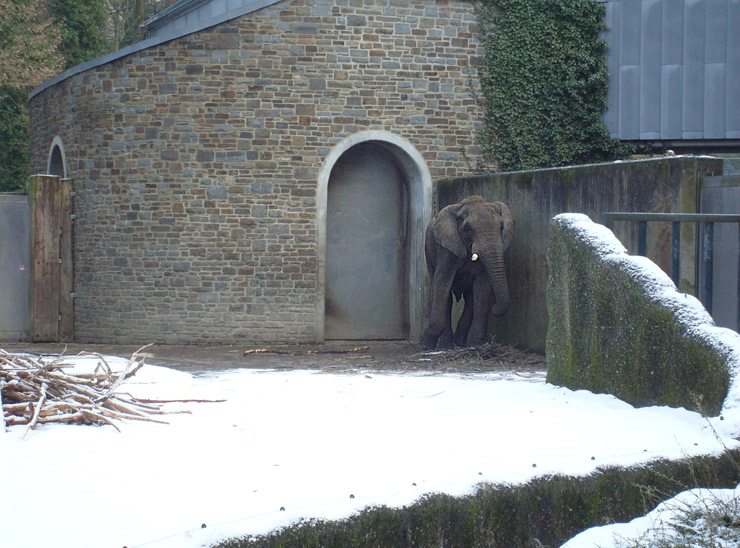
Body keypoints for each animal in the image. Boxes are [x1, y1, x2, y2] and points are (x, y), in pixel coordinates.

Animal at [422, 197, 516, 348]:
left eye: (501, 228)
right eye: (468, 230)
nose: (495, 308)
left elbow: (482, 288)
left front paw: (477, 344)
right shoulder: (447, 249)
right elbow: (442, 283)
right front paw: (425, 345)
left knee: (470, 297)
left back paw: (459, 342)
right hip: (429, 253)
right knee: (447, 297)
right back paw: (445, 345)